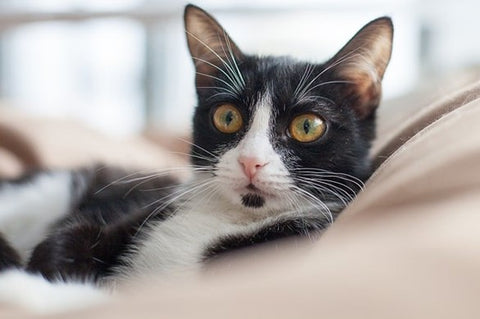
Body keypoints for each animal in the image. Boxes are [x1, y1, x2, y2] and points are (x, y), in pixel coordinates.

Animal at [0, 4, 392, 316]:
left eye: (307, 126)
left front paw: (24, 291)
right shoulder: (145, 209)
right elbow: (70, 237)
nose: (250, 161)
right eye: (227, 117)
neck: (228, 218)